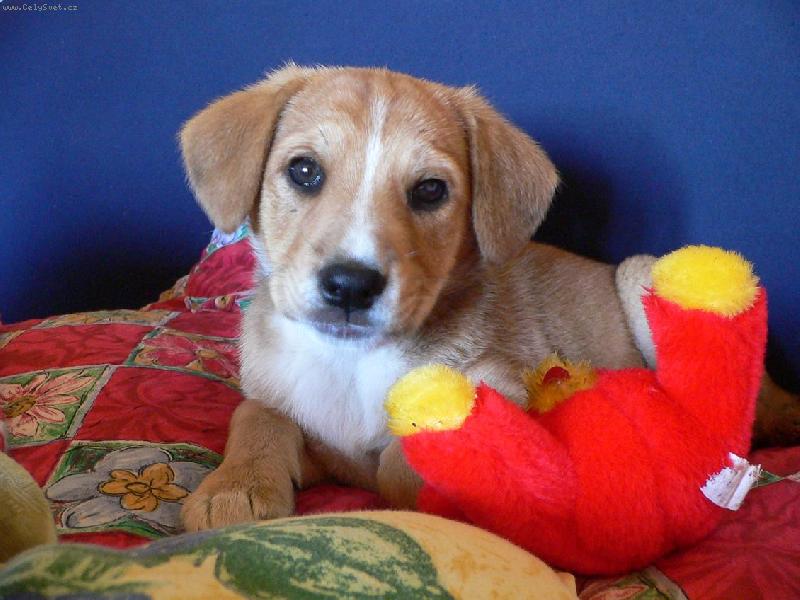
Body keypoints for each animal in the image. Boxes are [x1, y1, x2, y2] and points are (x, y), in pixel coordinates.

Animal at [179, 65, 797, 531]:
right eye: (303, 170)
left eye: (431, 190)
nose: (351, 284)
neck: (349, 363)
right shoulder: (301, 422)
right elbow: (257, 415)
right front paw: (234, 488)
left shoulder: (495, 388)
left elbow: (401, 460)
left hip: (644, 274)